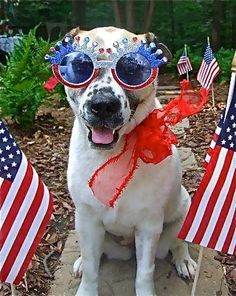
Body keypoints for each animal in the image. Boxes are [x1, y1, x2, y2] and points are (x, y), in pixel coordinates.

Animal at [64, 26, 197, 296]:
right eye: (81, 66)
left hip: (184, 207)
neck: (112, 155)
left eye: (133, 69)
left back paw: (184, 260)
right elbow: (92, 267)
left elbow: (144, 273)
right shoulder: (87, 220)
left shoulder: (148, 226)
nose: (103, 105)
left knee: (178, 242)